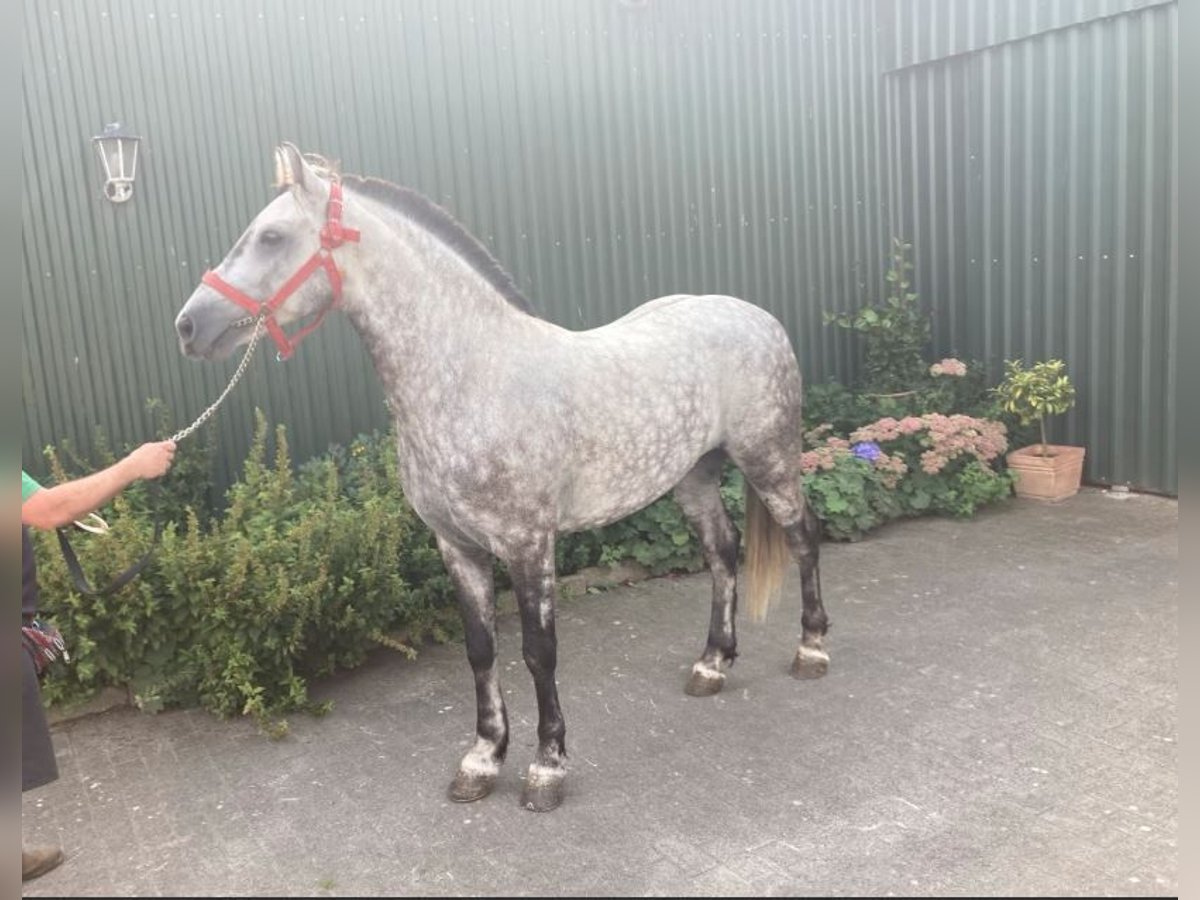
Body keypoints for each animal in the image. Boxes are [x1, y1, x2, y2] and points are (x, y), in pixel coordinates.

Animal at [177, 144, 830, 816]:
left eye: (272, 236)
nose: (189, 325)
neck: (471, 377)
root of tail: (756, 317)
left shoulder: (527, 543)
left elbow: (538, 653)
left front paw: (547, 768)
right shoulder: (457, 546)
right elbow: (481, 650)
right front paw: (483, 758)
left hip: (769, 459)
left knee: (804, 535)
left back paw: (811, 649)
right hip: (695, 477)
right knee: (723, 552)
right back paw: (712, 665)